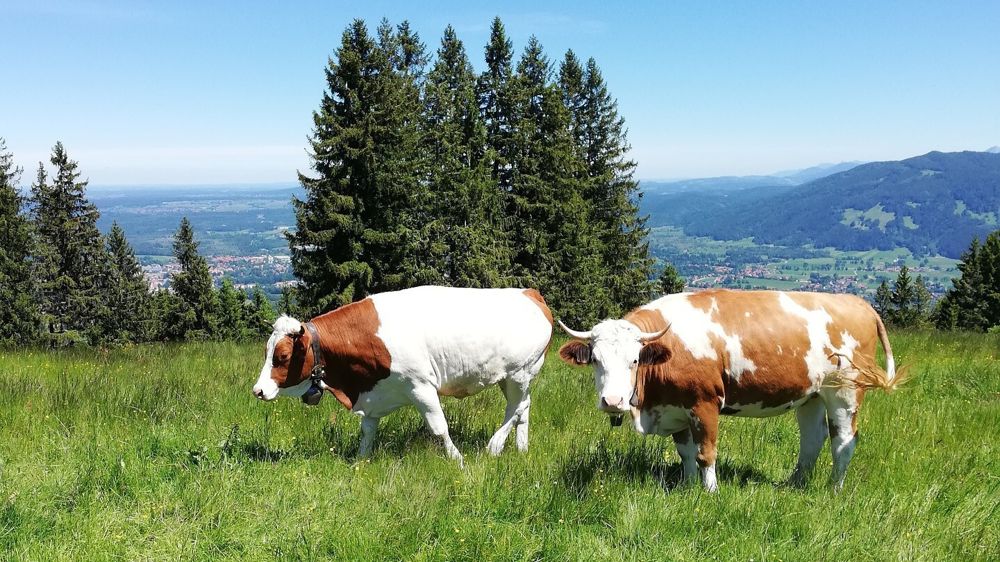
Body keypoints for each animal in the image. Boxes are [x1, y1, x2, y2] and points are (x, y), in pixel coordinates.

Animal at [252, 286, 553, 466]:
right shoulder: (373, 393)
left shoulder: (421, 386)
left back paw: (494, 446)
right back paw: (521, 448)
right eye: (266, 351)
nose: (258, 390)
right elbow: (367, 431)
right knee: (522, 408)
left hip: (521, 372)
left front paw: (457, 460)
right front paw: (360, 462)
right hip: (510, 378)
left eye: (282, 356)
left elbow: (439, 428)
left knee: (518, 406)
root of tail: (528, 292)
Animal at [557, 289, 907, 491]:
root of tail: (858, 303)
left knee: (843, 442)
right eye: (595, 360)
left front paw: (710, 493)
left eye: (634, 360)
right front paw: (687, 488)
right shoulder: (676, 407)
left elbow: (706, 453)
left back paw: (835, 490)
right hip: (812, 394)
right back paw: (794, 484)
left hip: (844, 391)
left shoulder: (705, 402)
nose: (612, 401)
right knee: (812, 438)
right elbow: (686, 452)